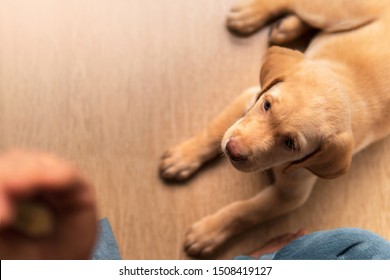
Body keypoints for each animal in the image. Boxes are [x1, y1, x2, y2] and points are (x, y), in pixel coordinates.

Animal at [159, 0, 390, 258]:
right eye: (267, 105)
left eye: (291, 144)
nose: (231, 150)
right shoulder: (250, 97)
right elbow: (213, 131)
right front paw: (183, 157)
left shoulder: (290, 194)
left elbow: (245, 211)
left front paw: (208, 232)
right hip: (337, 12)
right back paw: (251, 15)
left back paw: (285, 27)